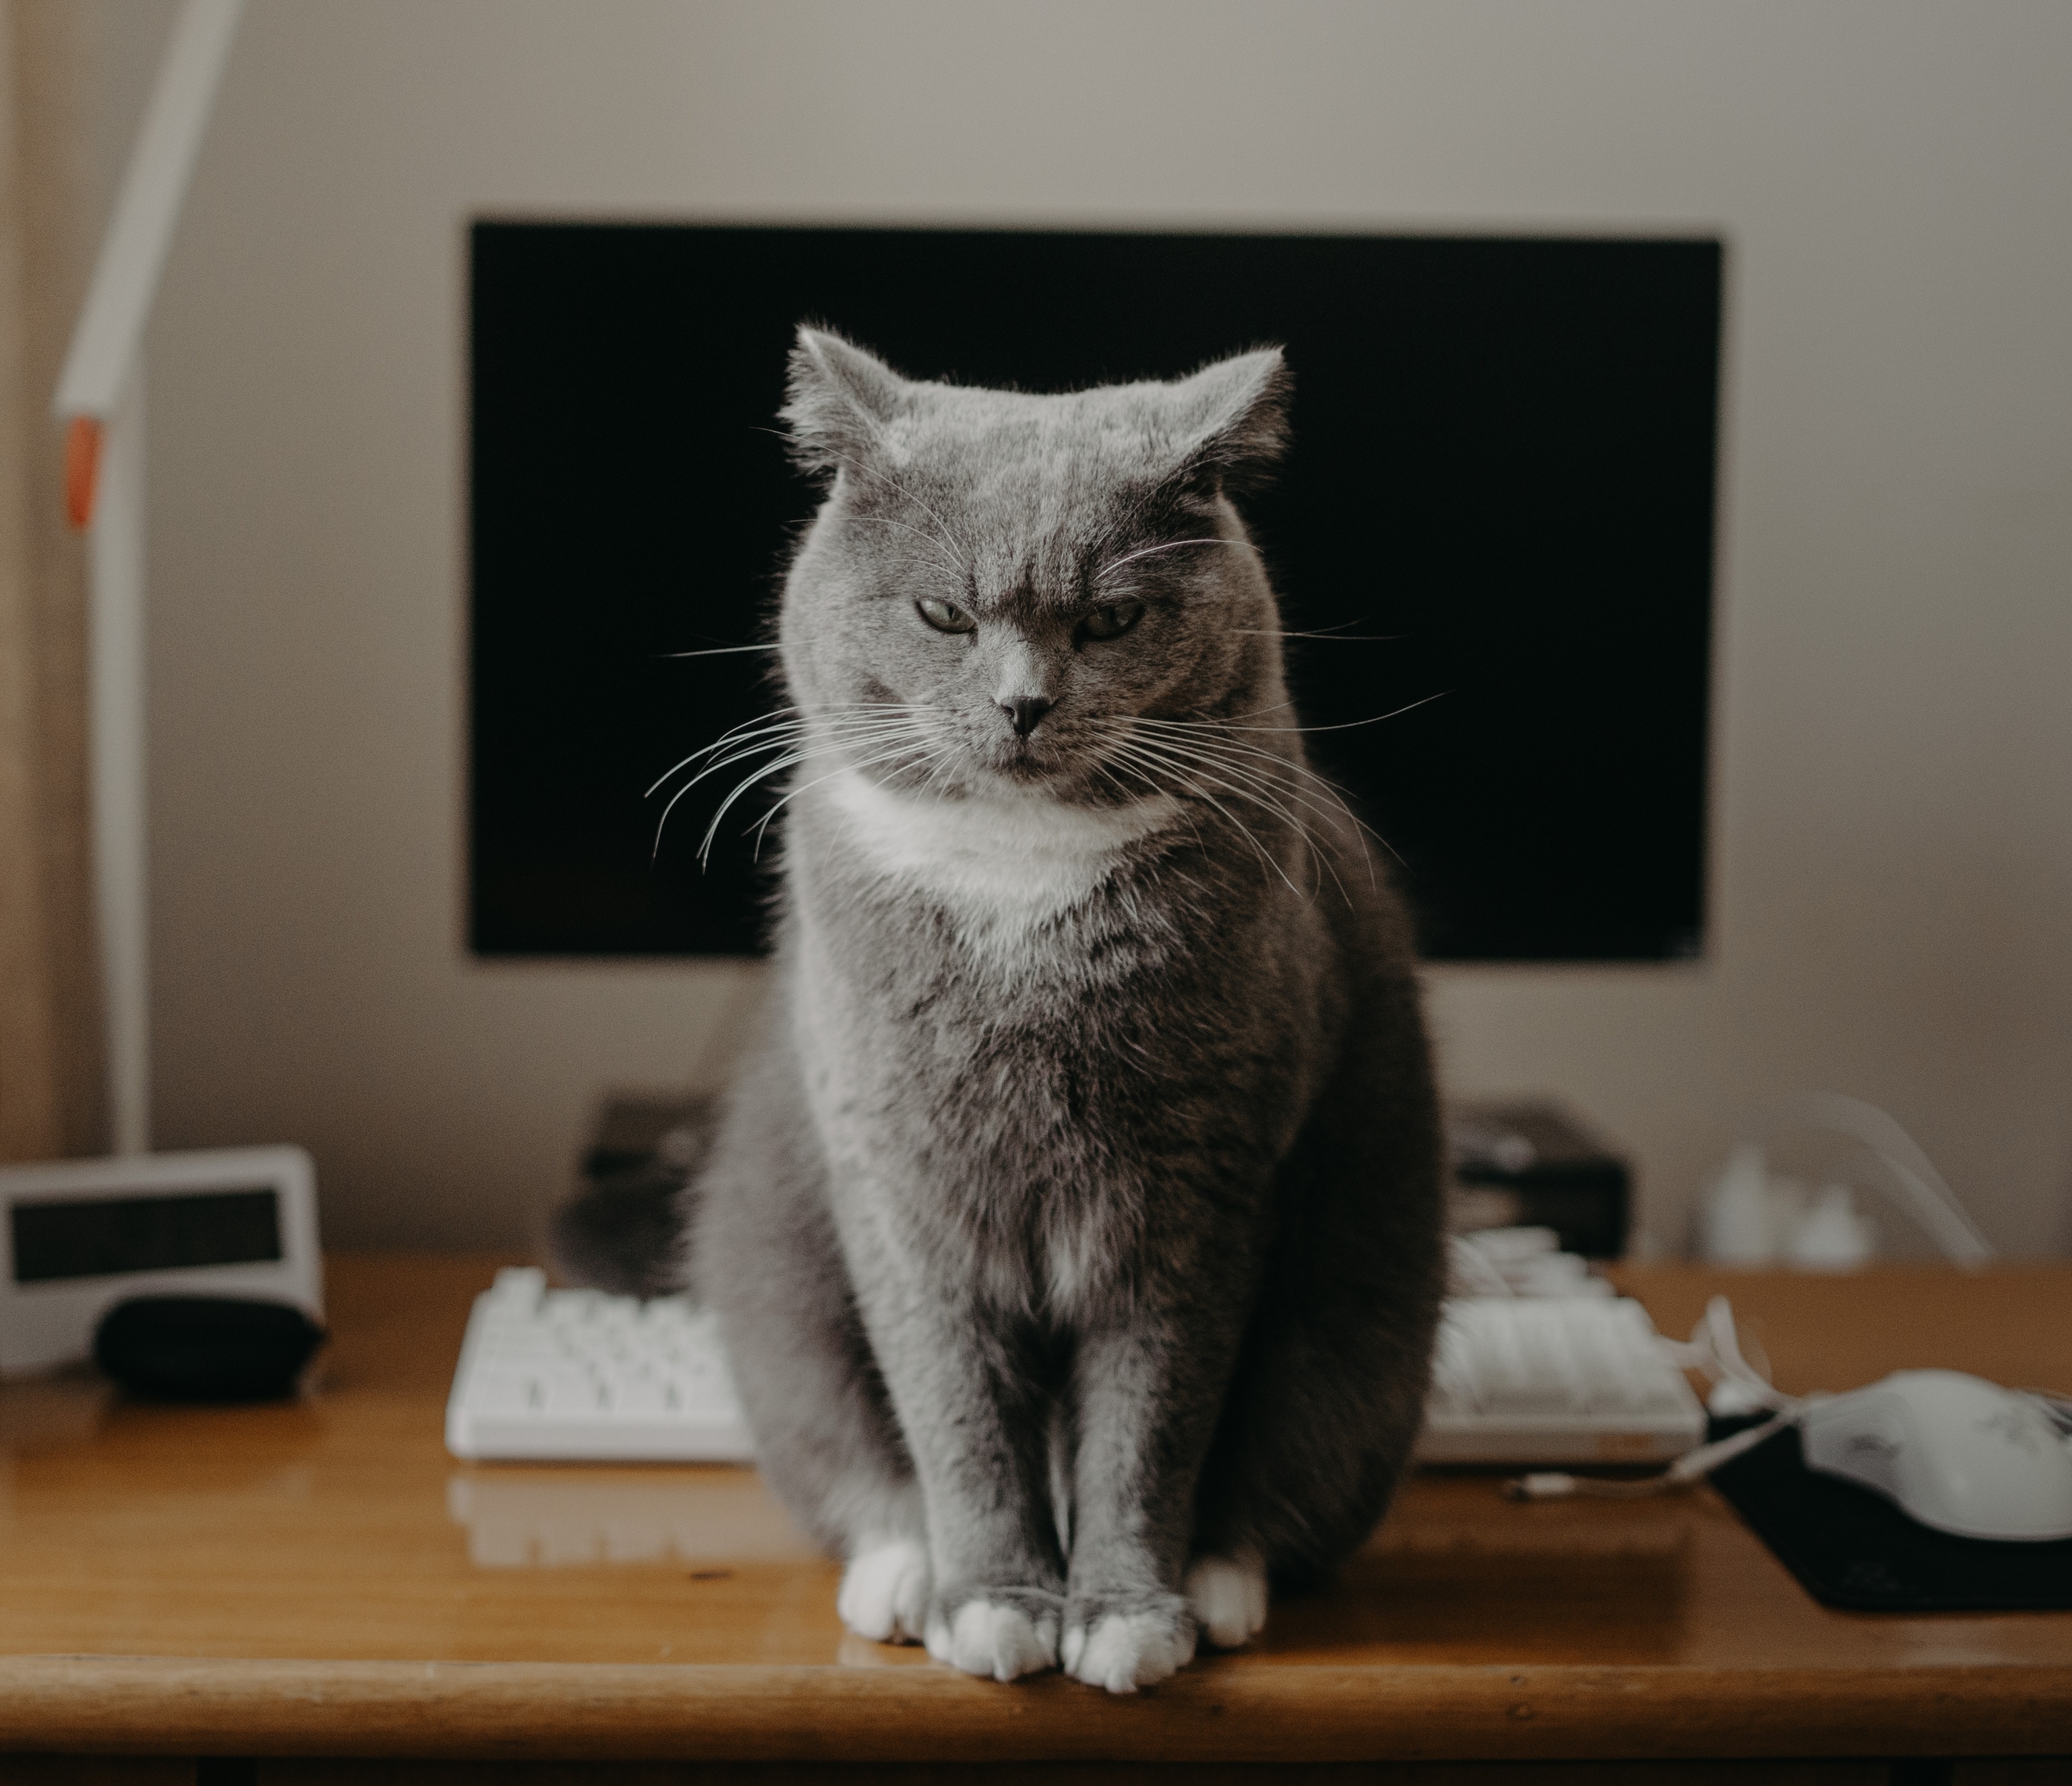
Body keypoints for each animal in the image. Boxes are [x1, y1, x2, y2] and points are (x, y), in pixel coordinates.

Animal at [680, 332, 1442, 1691]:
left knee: (1284, 1465)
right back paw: (908, 1574)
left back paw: (1217, 1583)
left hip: (1365, 1318)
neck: (1019, 894)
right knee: (854, 1459)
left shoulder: (1199, 1191)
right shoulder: (902, 1189)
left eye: (1112, 617)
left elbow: (1149, 1424)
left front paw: (1124, 1616)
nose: (1022, 703)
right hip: (776, 1289)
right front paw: (995, 1601)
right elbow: (957, 1412)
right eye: (941, 612)